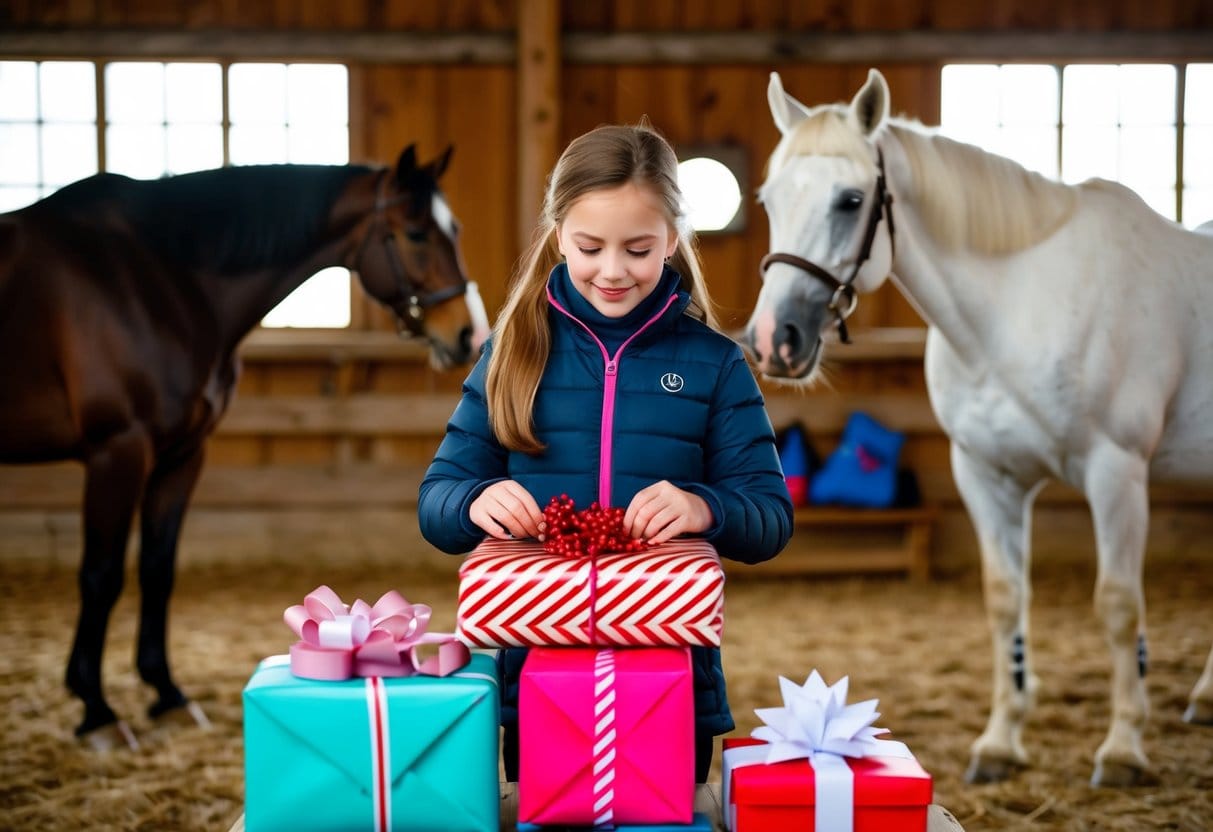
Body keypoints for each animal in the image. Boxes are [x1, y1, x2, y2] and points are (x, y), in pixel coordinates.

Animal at [0, 143, 487, 751]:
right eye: (417, 233)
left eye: (456, 229)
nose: (469, 335)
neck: (154, 278)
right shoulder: (118, 451)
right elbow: (102, 574)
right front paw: (96, 709)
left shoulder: (182, 454)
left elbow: (158, 567)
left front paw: (167, 695)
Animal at [747, 66, 1213, 790]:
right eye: (769, 199)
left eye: (850, 200)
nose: (775, 340)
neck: (1017, 308)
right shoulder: (987, 475)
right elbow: (1002, 601)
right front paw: (999, 742)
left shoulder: (1116, 474)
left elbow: (1117, 607)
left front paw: (1121, 749)